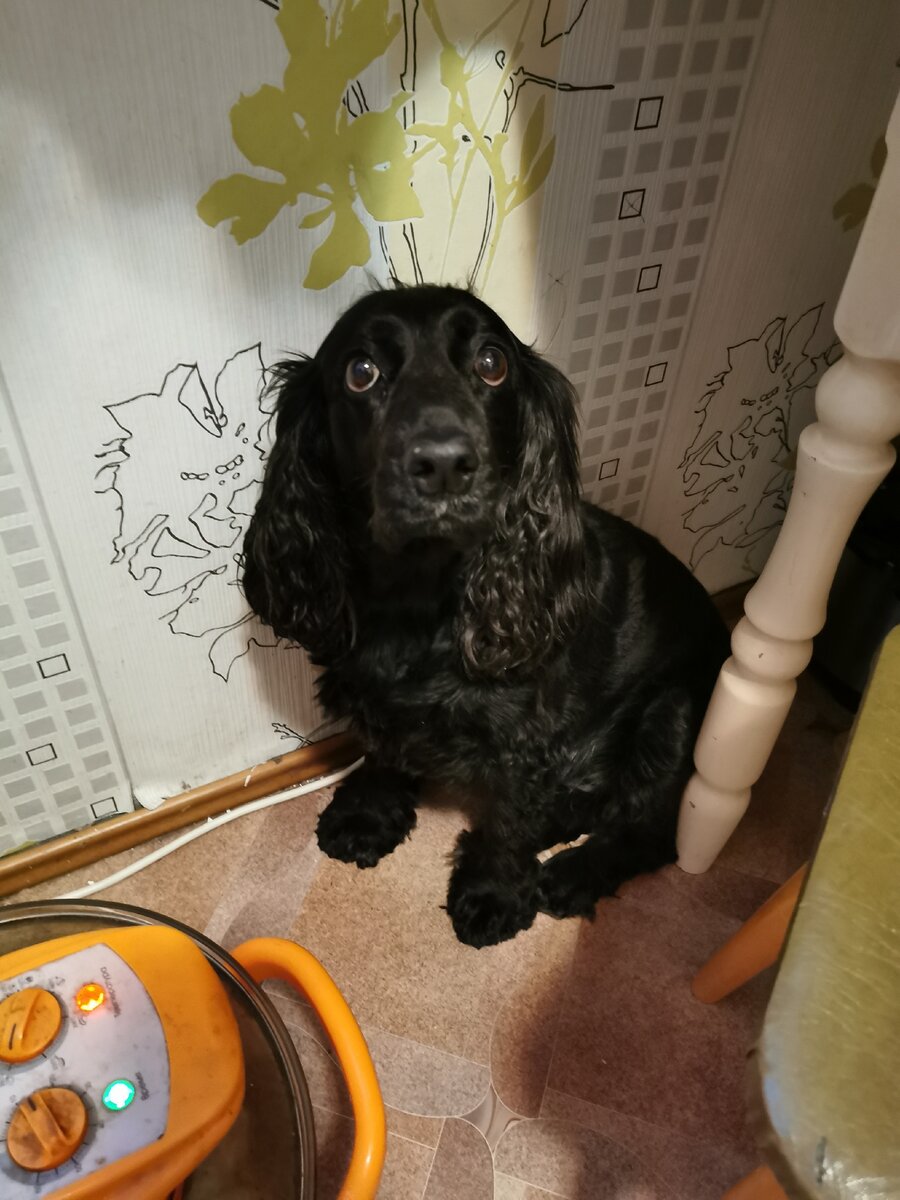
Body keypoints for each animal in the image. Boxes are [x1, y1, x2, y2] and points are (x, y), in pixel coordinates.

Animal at [242, 284, 730, 947]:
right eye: (360, 371)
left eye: (492, 363)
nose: (444, 463)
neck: (419, 600)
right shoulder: (376, 695)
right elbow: (383, 748)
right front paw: (367, 815)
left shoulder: (529, 732)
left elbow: (508, 815)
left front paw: (494, 892)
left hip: (672, 716)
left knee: (649, 831)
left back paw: (569, 873)